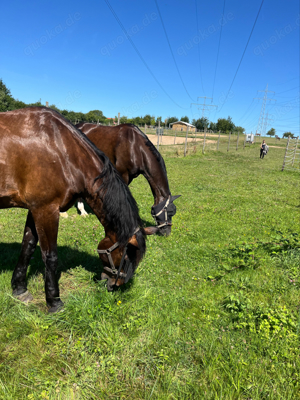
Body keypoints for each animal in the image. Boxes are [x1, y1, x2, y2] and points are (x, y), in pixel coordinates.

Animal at [0, 108, 155, 312]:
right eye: (128, 256)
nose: (115, 285)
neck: (60, 148)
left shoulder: (34, 209)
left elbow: (28, 247)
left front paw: (20, 289)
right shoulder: (46, 210)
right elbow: (50, 256)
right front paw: (54, 301)